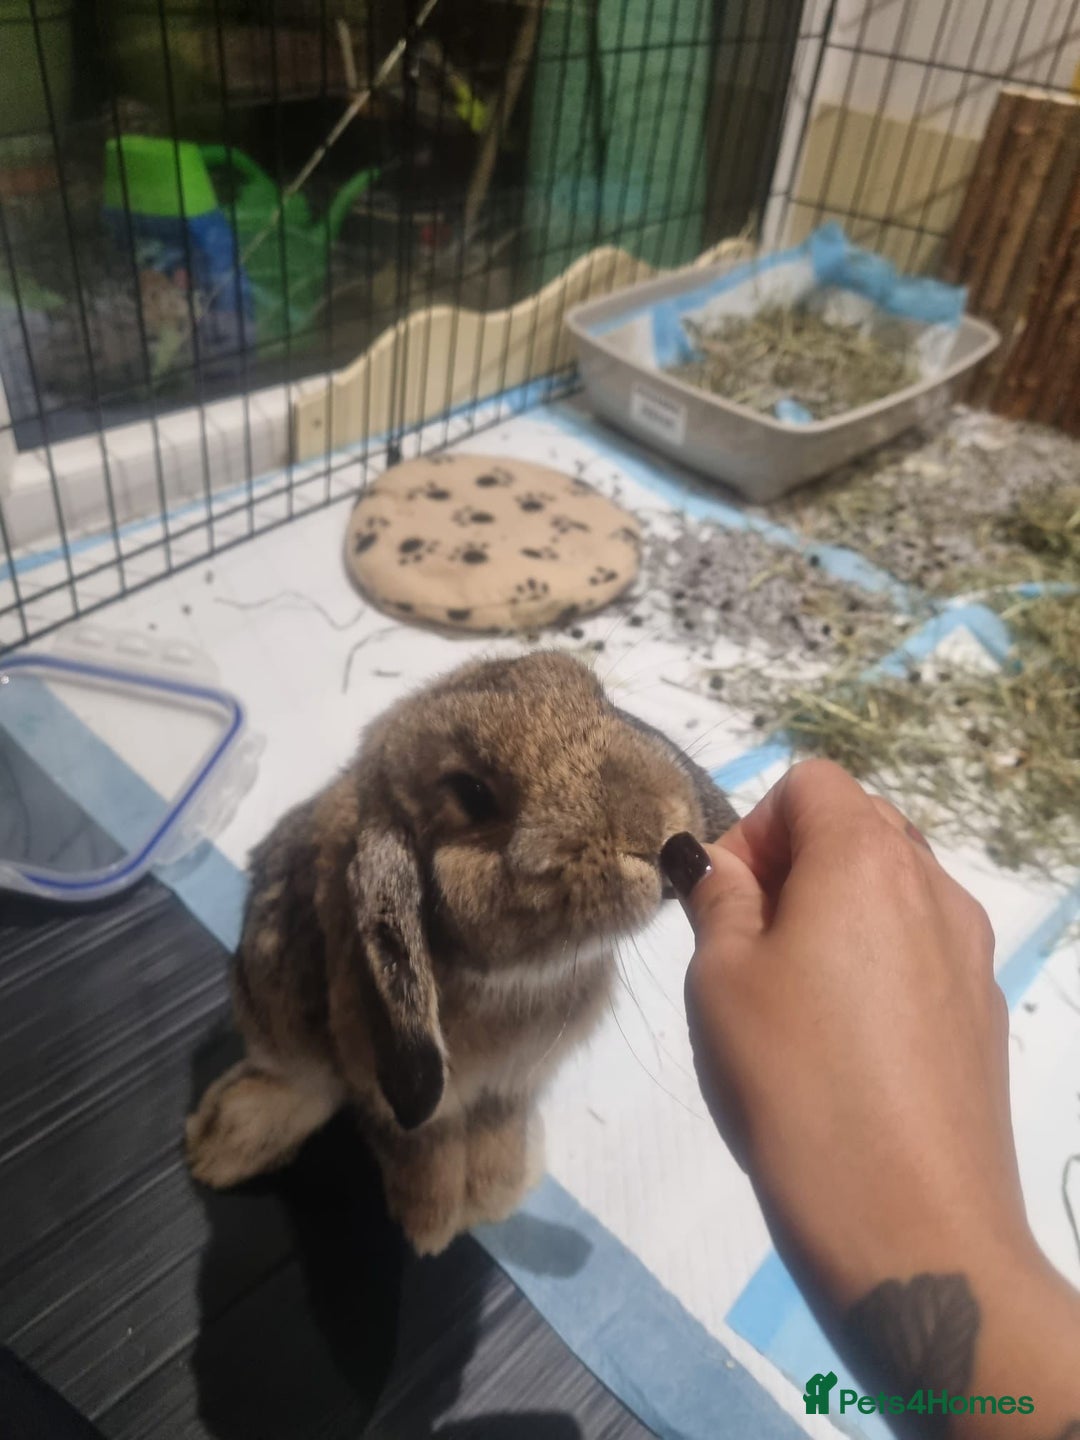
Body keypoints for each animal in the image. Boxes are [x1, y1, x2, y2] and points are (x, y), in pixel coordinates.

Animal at [185, 649, 737, 1255]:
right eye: (472, 794)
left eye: (602, 701)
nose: (656, 830)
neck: (519, 981)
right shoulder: (402, 1102)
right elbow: (425, 1147)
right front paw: (432, 1225)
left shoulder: (513, 1085)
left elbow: (498, 1130)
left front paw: (497, 1194)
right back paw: (218, 1146)